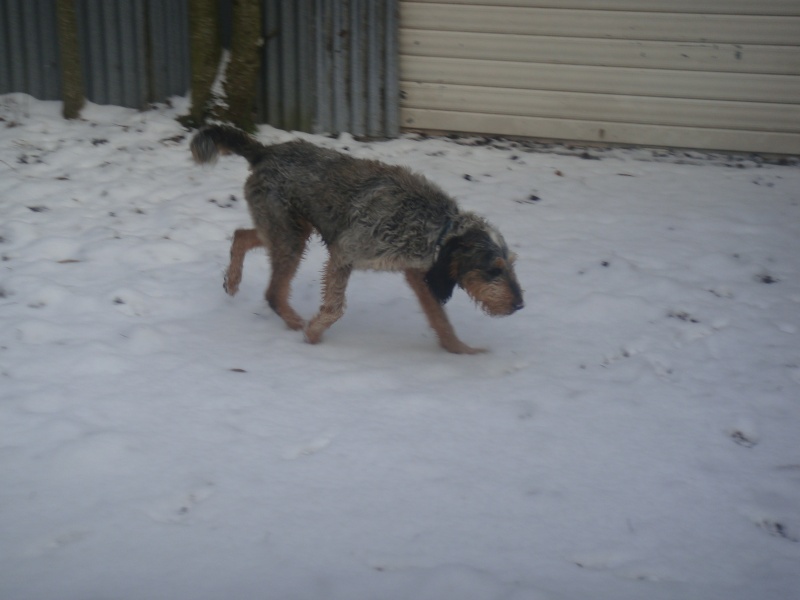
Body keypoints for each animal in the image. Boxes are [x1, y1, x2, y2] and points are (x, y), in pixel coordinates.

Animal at [191, 125, 520, 354]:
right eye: (494, 269)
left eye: (511, 265)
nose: (519, 305)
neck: (434, 227)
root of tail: (265, 151)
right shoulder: (344, 253)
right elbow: (335, 308)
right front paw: (312, 335)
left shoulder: (417, 274)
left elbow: (442, 321)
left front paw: (463, 351)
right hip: (290, 237)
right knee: (273, 292)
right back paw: (296, 323)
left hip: (288, 230)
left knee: (241, 235)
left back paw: (233, 281)